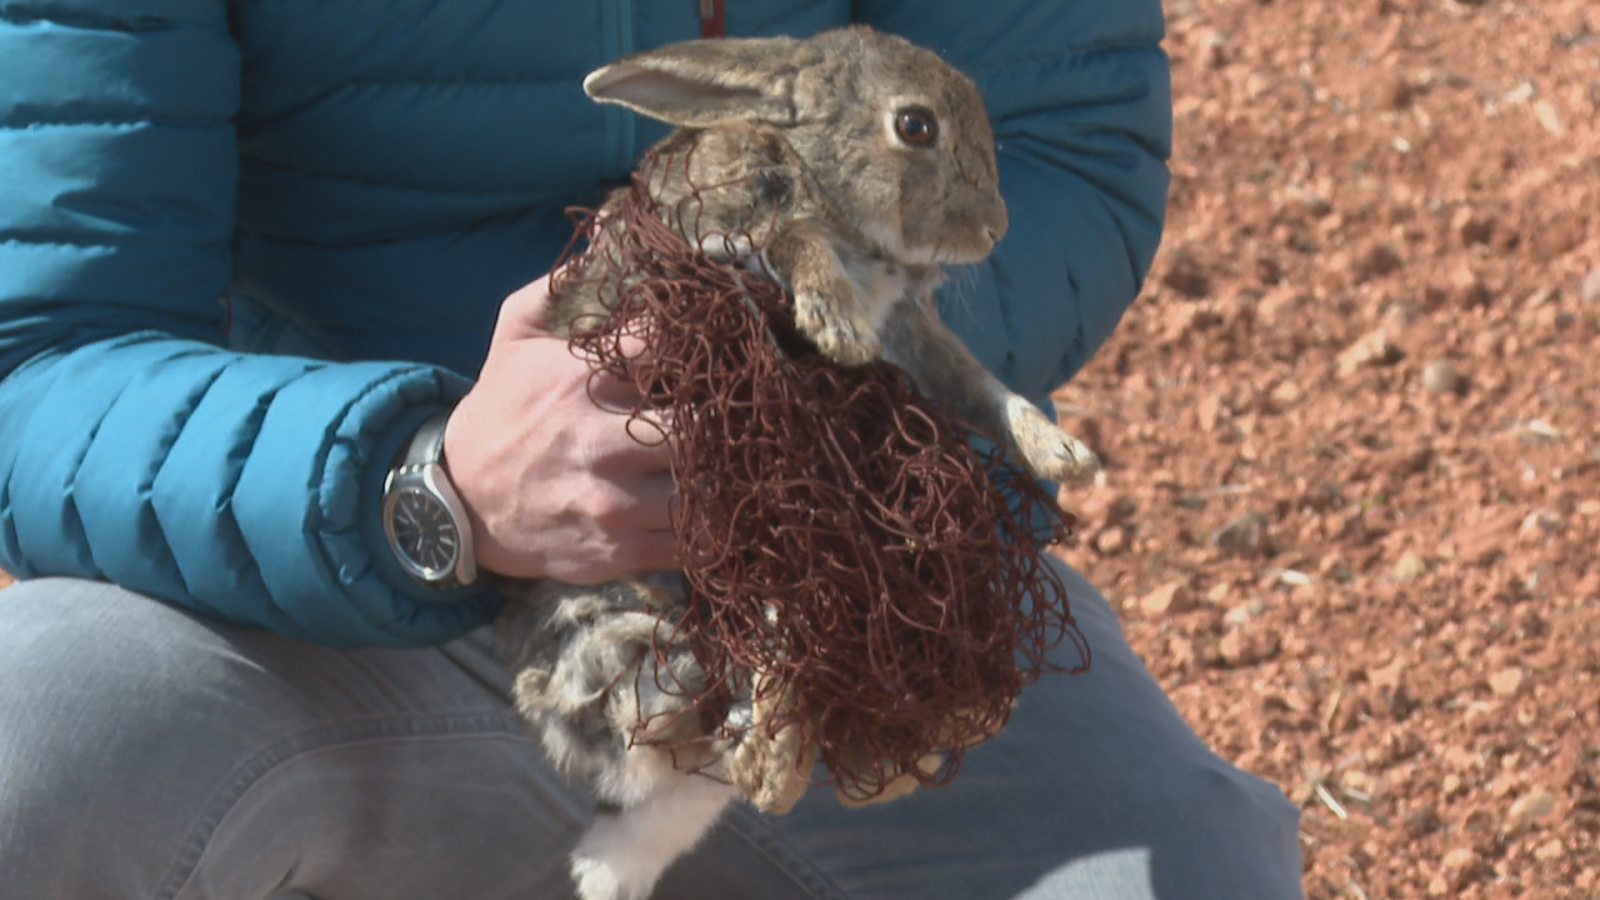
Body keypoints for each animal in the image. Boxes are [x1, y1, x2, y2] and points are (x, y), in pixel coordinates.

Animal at [492, 24, 1107, 890]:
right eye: (915, 126)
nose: (991, 229)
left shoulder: (913, 331)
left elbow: (975, 384)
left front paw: (1062, 452)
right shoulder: (719, 228)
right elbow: (793, 234)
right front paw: (836, 325)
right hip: (636, 612)